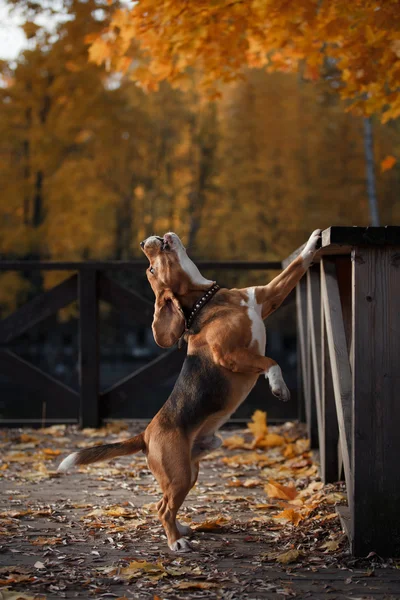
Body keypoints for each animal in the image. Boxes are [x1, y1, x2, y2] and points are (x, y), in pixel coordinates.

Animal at [58, 229, 322, 552]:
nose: (143, 243)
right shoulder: (229, 355)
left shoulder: (267, 295)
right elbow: (271, 362)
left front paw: (313, 241)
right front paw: (278, 386)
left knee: (165, 504)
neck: (207, 300)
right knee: (163, 508)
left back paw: (181, 528)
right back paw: (176, 542)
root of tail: (145, 434)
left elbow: (296, 265)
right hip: (180, 475)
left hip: (190, 472)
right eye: (151, 270)